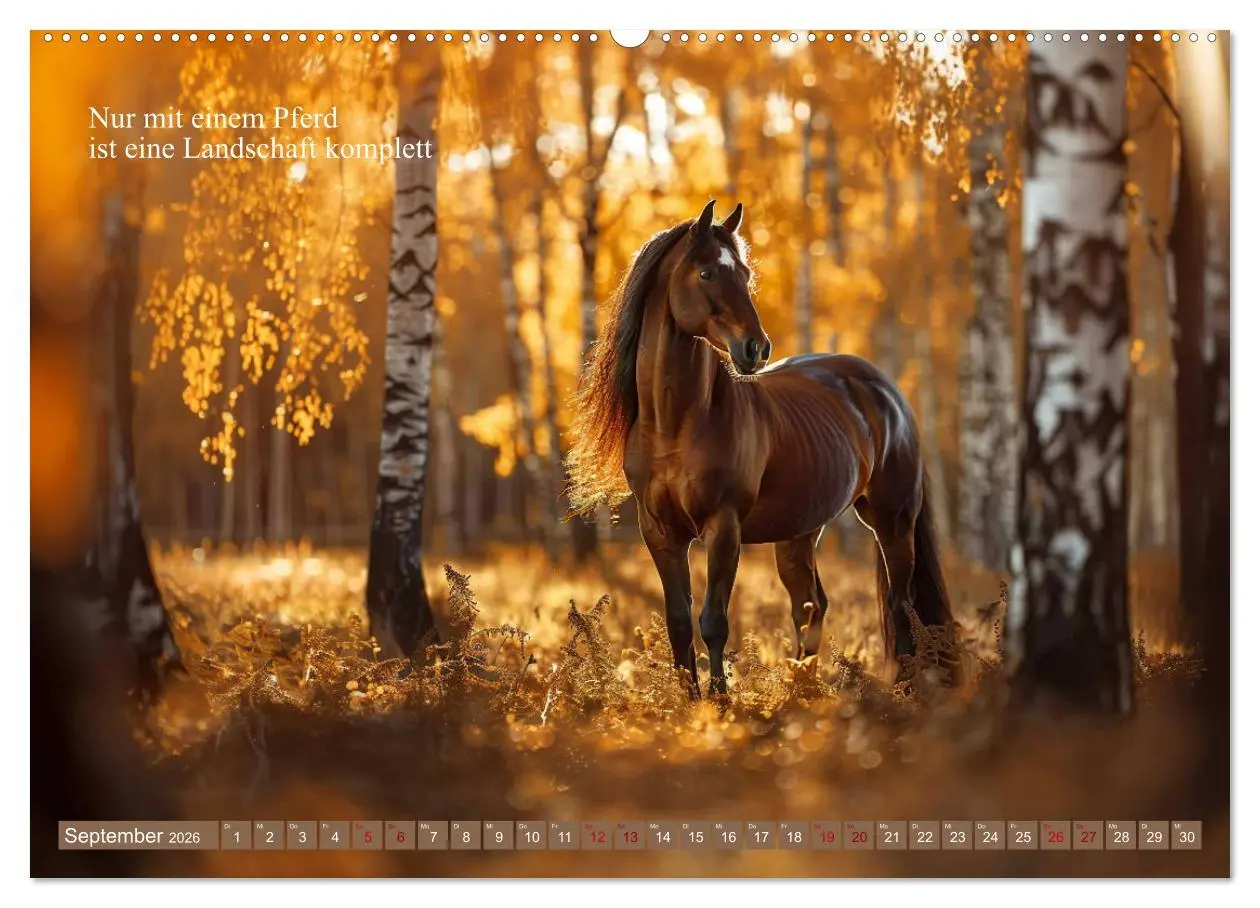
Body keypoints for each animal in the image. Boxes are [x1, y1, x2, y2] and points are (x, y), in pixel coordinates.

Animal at [566, 199, 957, 697]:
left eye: (746, 272)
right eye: (707, 272)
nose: (756, 348)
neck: (677, 423)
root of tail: (889, 393)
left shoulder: (723, 528)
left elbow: (713, 621)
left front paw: (720, 702)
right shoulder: (659, 533)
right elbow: (678, 623)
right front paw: (689, 703)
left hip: (891, 519)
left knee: (897, 603)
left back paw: (902, 691)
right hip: (799, 531)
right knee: (811, 606)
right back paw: (801, 693)